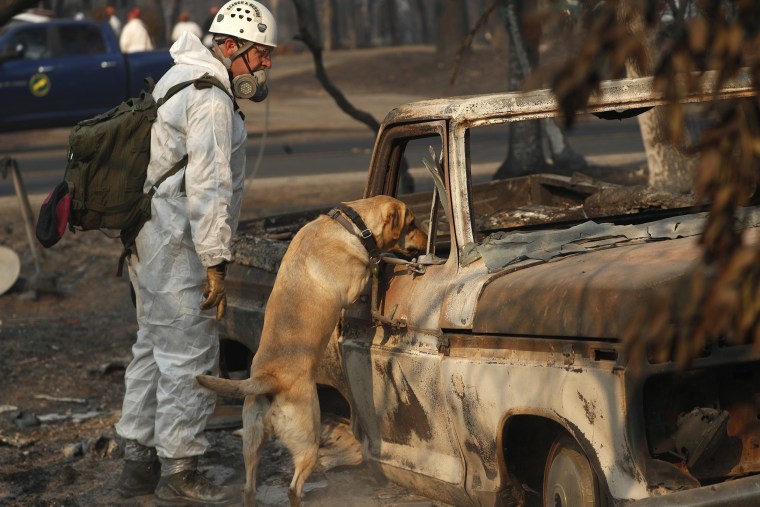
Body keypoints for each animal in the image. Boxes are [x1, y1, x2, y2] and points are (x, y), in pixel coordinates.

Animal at [196, 195, 428, 507]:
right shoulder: (353, 288)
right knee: (293, 487)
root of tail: (269, 379)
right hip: (308, 439)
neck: (351, 225)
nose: (427, 241)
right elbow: (371, 267)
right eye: (412, 223)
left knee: (248, 487)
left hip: (252, 442)